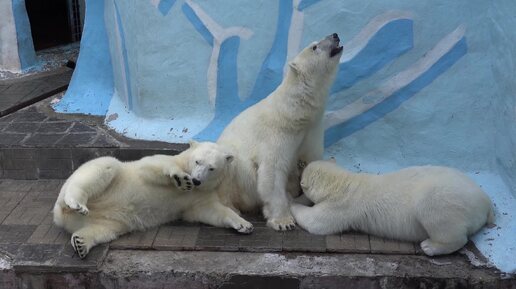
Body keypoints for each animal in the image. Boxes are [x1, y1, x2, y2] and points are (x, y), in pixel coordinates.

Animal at [53, 141, 253, 258]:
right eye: (198, 161)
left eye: (212, 168)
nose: (196, 180)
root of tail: (60, 215)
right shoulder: (157, 164)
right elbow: (154, 166)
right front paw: (182, 179)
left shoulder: (200, 196)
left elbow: (210, 211)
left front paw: (244, 225)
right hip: (100, 181)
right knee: (103, 167)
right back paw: (76, 202)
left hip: (110, 221)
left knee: (107, 229)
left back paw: (81, 242)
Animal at [216, 33, 344, 230]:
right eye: (314, 47)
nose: (335, 35)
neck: (294, 114)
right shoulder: (278, 134)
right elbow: (272, 173)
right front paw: (283, 221)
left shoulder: (312, 131)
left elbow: (311, 160)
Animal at [290, 159, 496, 255]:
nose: (298, 179)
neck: (344, 183)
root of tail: (485, 201)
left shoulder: (341, 207)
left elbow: (316, 223)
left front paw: (291, 203)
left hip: (445, 200)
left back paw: (430, 246)